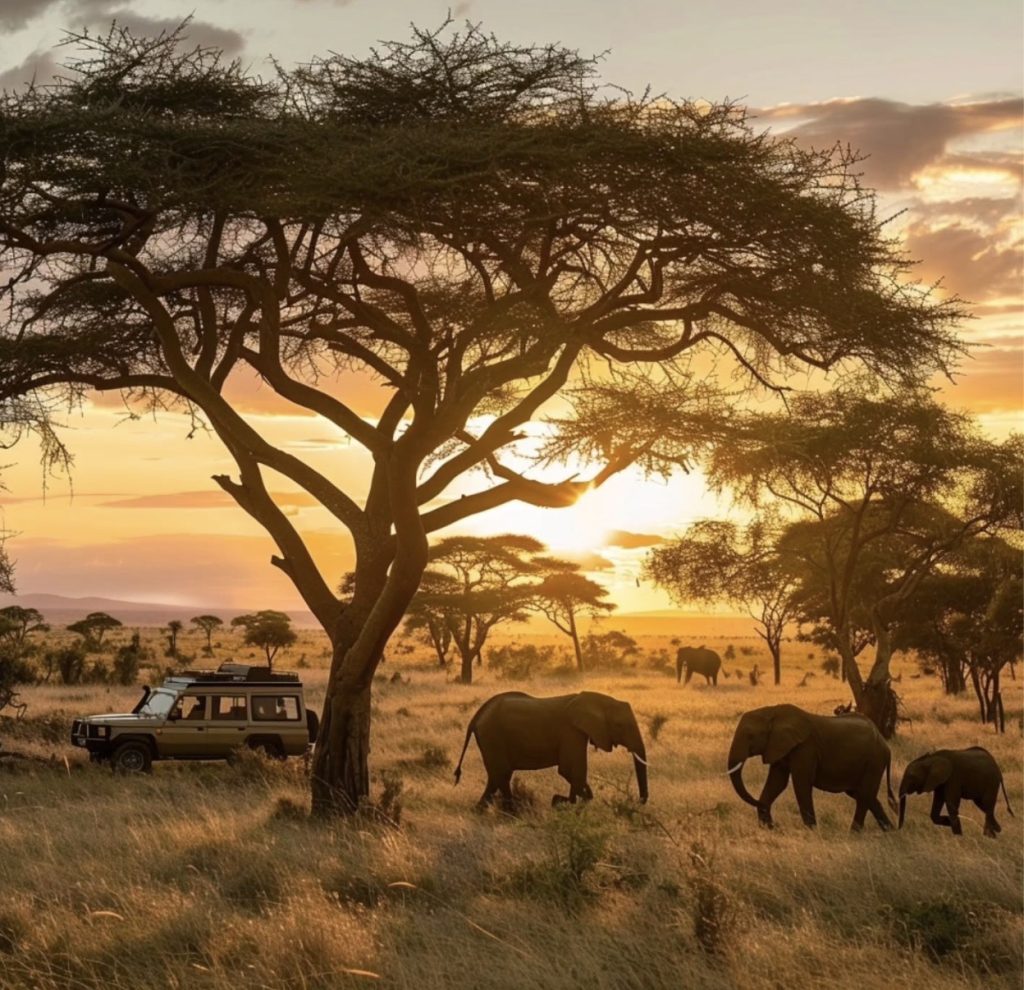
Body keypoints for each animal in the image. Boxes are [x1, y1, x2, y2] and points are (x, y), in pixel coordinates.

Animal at [453, 690, 648, 809]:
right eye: (619, 725)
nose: (639, 801)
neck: (595, 699)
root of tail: (476, 716)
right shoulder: (571, 732)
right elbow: (570, 770)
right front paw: (564, 802)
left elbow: (572, 772)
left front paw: (568, 803)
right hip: (493, 737)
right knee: (500, 774)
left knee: (498, 777)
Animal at [727, 704, 896, 831]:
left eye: (750, 736)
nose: (776, 826)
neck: (772, 711)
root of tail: (886, 746)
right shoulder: (779, 747)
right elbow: (777, 783)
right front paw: (768, 828)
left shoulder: (805, 748)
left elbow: (801, 783)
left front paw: (812, 830)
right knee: (863, 794)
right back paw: (890, 832)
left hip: (874, 761)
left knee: (864, 796)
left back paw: (853, 834)